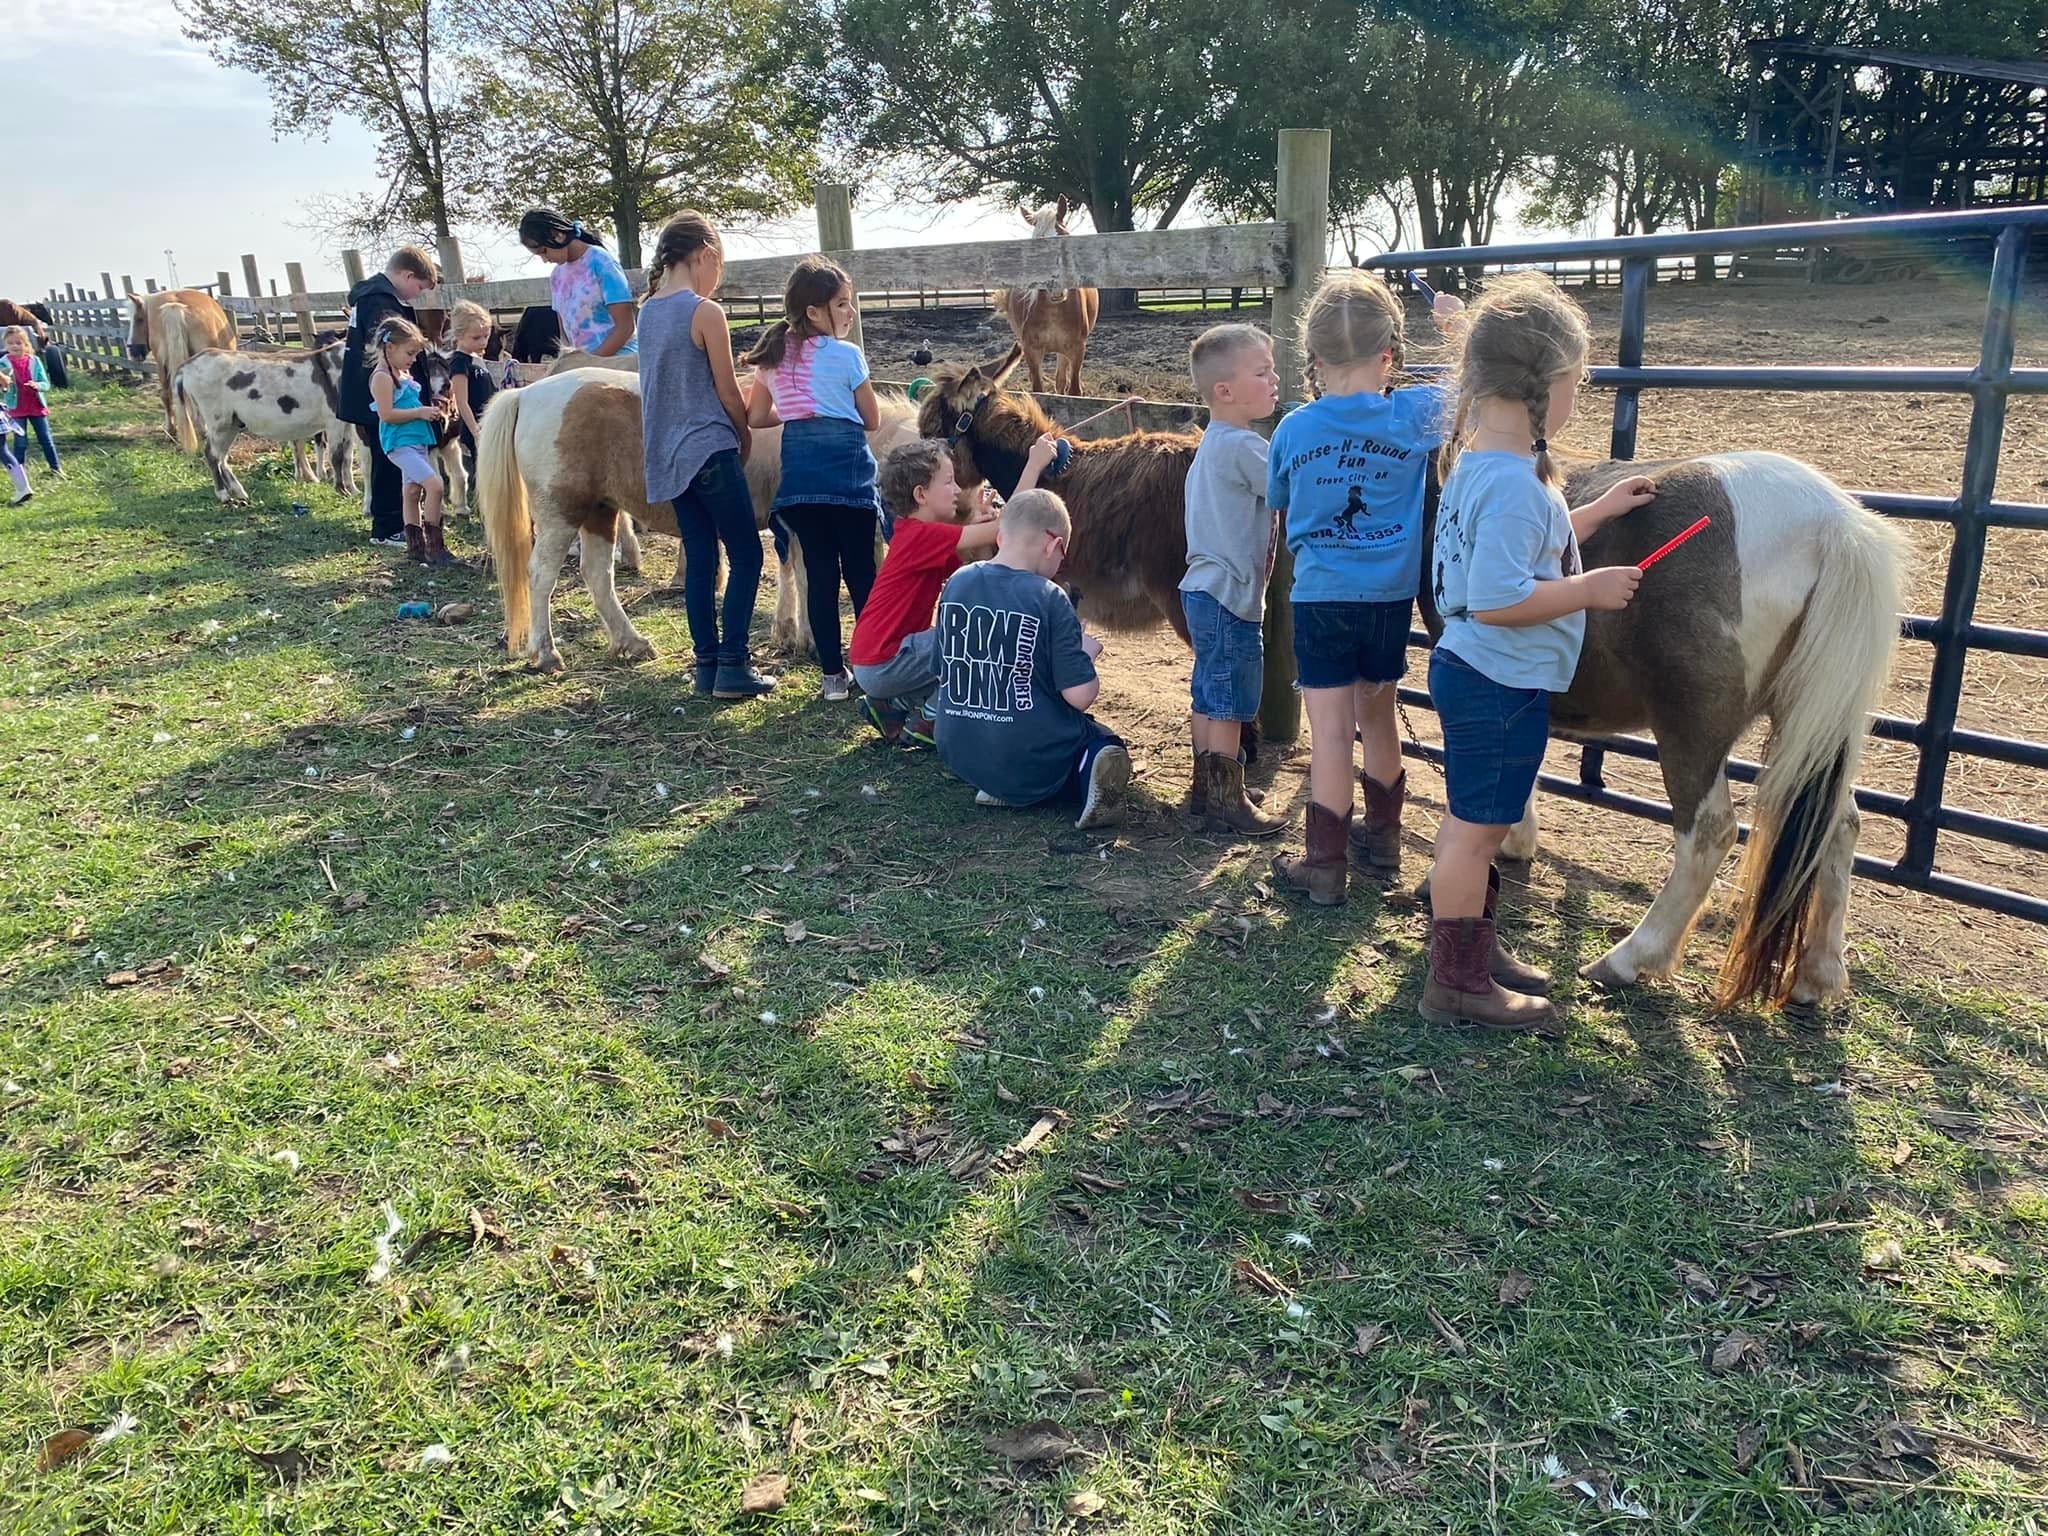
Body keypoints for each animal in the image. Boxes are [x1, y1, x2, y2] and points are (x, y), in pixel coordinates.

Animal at [126, 290, 236, 442]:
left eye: (139, 319)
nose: (132, 352)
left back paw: (171, 430)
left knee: (166, 394)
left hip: (162, 364)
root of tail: (174, 306)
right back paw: (203, 430)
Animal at [475, 370, 917, 675]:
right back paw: (546, 652)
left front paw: (790, 632)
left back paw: (631, 642)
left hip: (600, 511)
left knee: (597, 576)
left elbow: (792, 573)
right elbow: (811, 577)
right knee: (541, 576)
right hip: (561, 513)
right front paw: (810, 639)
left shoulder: (786, 527)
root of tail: (527, 394)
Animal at [921, 360, 1892, 1011]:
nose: (955, 495)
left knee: (1710, 830)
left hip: (1695, 717)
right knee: (1837, 824)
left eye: (941, 424)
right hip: (1820, 715)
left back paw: (1629, 958)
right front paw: (1511, 843)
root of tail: (1830, 520)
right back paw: (1821, 974)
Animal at [995, 198, 1105, 397]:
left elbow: (1073, 390)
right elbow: (1038, 389)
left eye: (1065, 237)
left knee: (1061, 380)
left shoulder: (1077, 349)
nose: (1056, 288)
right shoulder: (1032, 350)